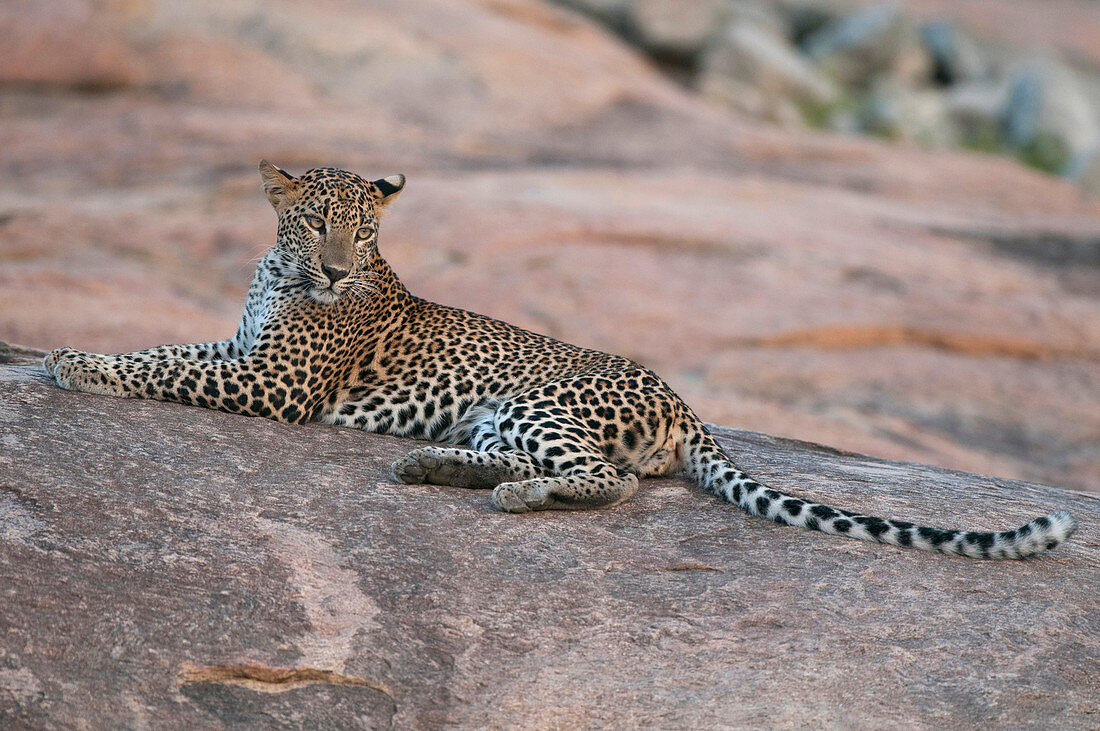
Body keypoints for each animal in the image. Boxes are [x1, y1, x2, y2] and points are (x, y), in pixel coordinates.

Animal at [40, 161, 1073, 558]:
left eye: (360, 230)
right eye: (312, 220)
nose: (334, 267)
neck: (283, 271)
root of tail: (684, 402)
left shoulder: (272, 381)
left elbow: (162, 368)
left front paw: (76, 364)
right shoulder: (243, 349)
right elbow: (167, 347)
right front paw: (68, 352)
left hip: (549, 403)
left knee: (607, 482)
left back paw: (512, 492)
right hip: (506, 411)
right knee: (557, 466)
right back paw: (436, 466)